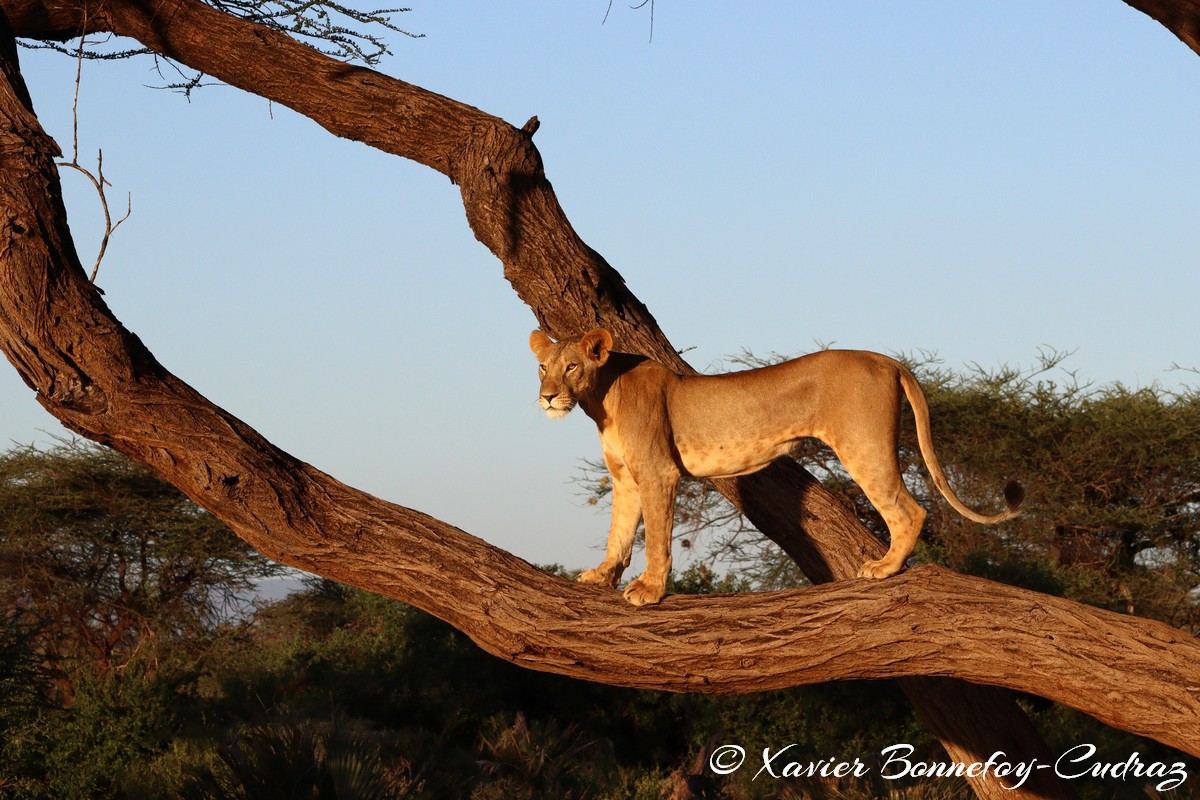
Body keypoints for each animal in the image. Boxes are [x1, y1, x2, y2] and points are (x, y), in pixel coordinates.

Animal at [530, 328, 1027, 604]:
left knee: (911, 510)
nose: (548, 397)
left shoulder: (658, 472)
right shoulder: (626, 477)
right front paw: (601, 576)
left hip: (864, 446)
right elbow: (618, 532)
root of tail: (883, 357)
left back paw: (884, 568)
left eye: (571, 367)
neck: (601, 400)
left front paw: (649, 591)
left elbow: (654, 538)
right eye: (542, 367)